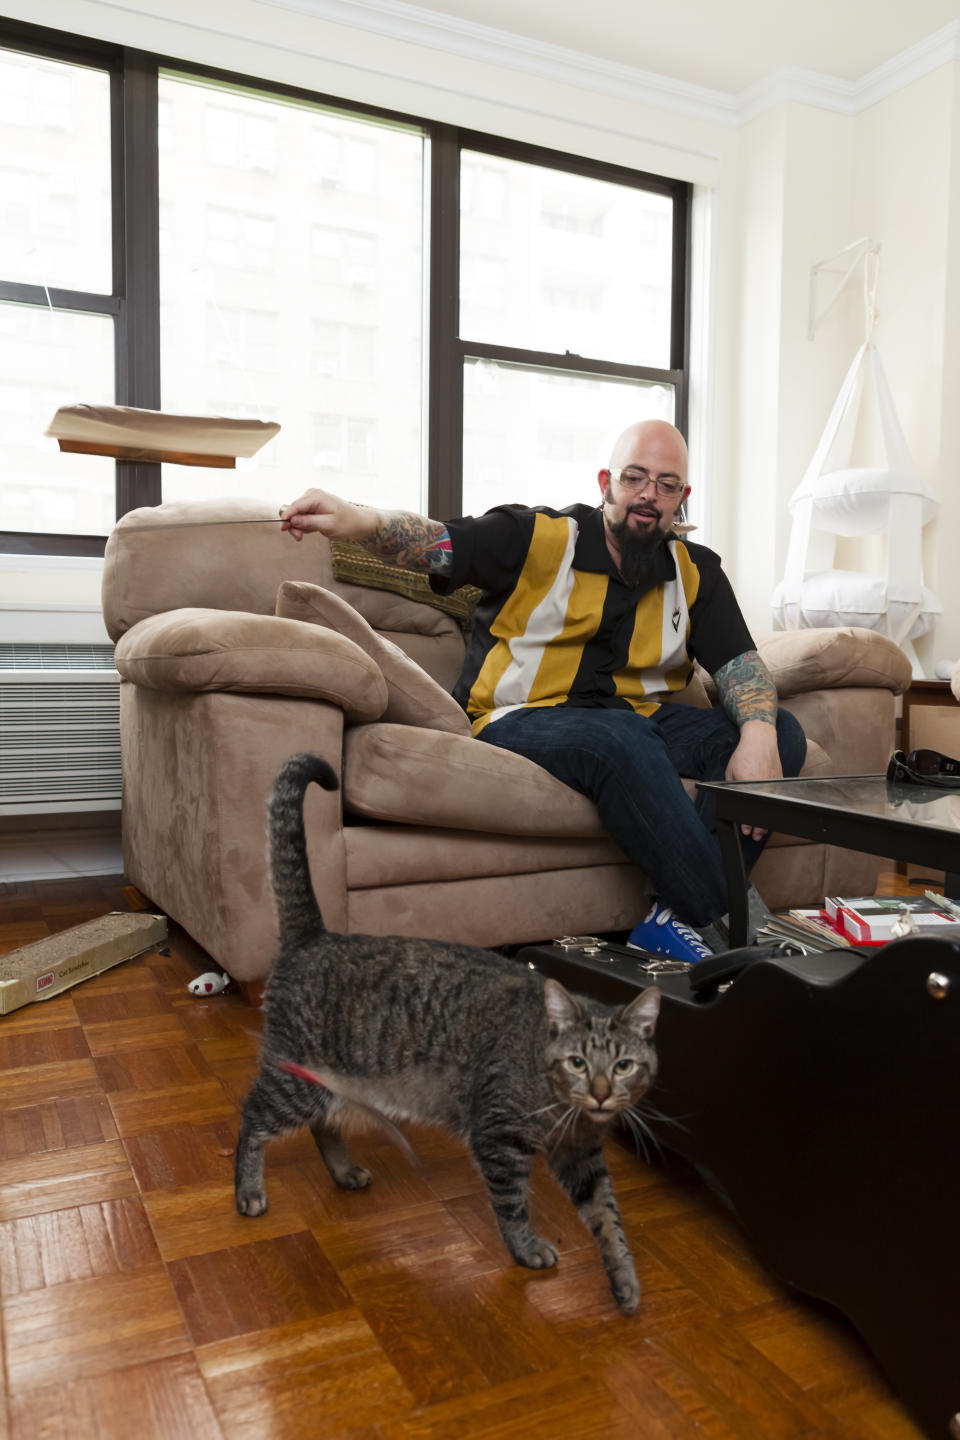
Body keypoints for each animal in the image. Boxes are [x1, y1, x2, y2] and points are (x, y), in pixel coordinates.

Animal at [236, 754, 664, 1319]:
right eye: (577, 1061)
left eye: (623, 1066)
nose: (599, 1093)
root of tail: (316, 936)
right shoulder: (499, 1138)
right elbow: (513, 1205)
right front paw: (526, 1248)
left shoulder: (583, 1156)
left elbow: (609, 1220)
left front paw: (625, 1280)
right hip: (295, 1084)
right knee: (252, 1118)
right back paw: (247, 1191)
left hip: (328, 1086)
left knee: (323, 1126)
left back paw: (344, 1172)